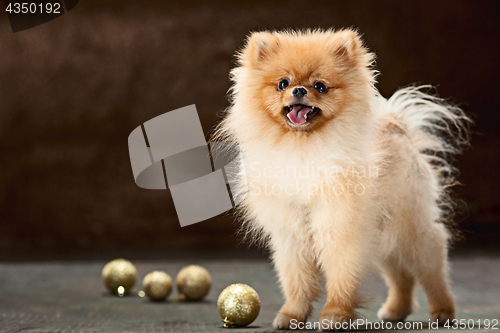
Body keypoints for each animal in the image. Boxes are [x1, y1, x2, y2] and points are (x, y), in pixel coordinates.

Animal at [214, 29, 468, 330]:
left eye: (320, 86)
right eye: (282, 83)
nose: (299, 90)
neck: (303, 147)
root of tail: (399, 128)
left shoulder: (339, 225)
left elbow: (341, 275)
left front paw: (334, 315)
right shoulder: (292, 231)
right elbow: (296, 278)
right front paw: (292, 315)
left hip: (408, 225)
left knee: (431, 266)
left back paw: (443, 310)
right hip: (382, 233)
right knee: (400, 273)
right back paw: (396, 310)